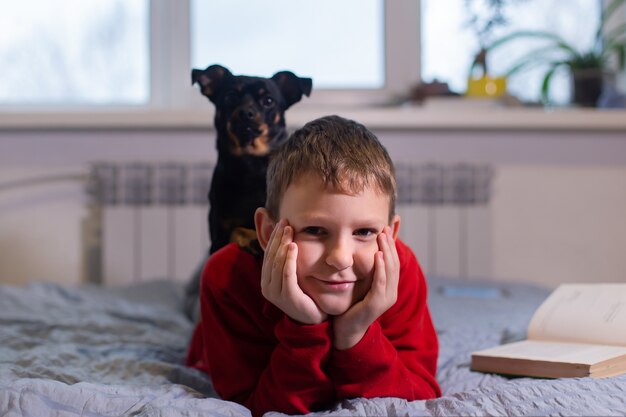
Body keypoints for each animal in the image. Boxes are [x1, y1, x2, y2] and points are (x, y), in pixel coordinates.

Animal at [185, 64, 312, 318]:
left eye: (269, 100)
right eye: (230, 97)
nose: (246, 113)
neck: (250, 165)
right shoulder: (218, 237)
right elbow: (237, 230)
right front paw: (252, 237)